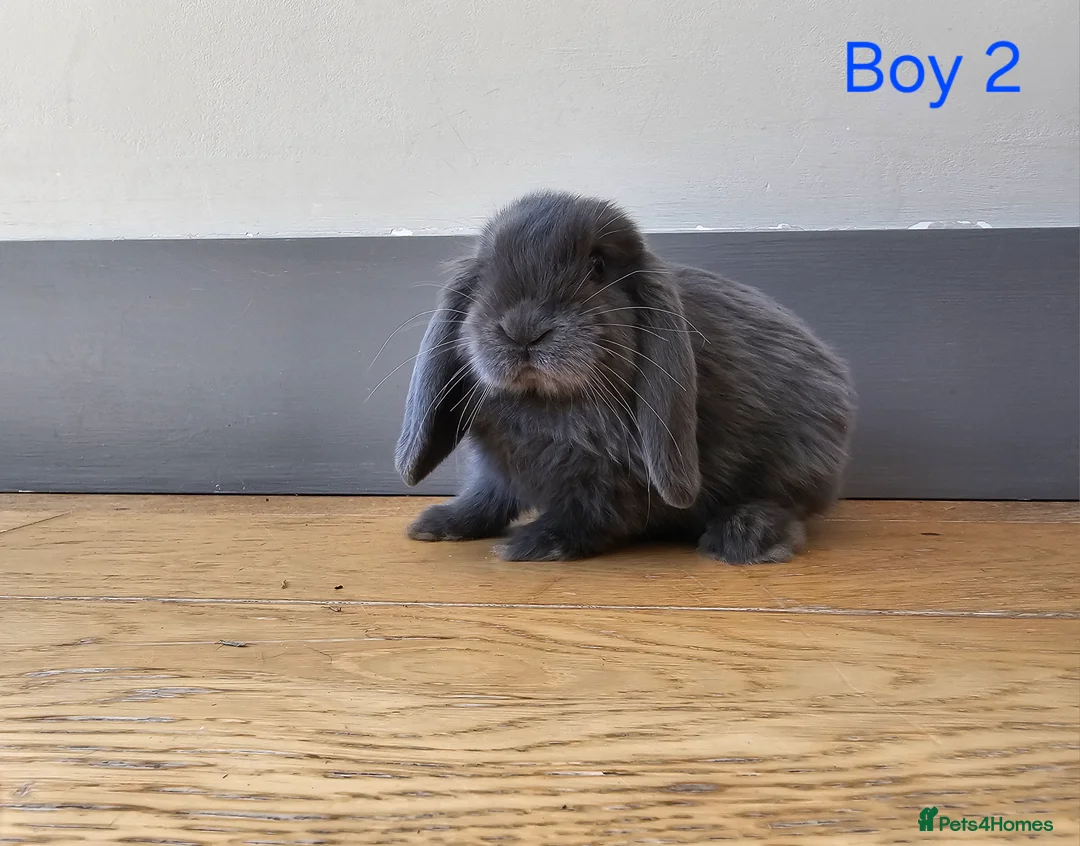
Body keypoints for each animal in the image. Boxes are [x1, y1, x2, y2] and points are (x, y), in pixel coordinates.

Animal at [394, 190, 856, 563]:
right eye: (487, 268)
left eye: (598, 266)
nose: (523, 330)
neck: (548, 403)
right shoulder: (498, 467)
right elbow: (485, 497)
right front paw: (438, 523)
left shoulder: (615, 480)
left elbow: (591, 515)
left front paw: (532, 543)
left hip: (796, 458)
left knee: (787, 507)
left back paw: (741, 539)